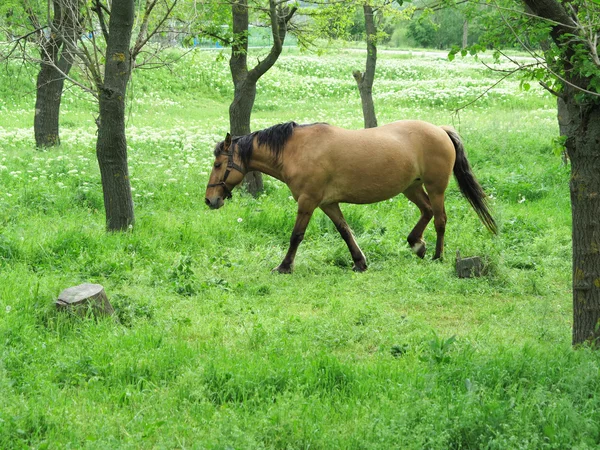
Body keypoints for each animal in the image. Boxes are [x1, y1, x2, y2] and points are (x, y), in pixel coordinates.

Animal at [206, 119, 496, 272]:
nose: (210, 200)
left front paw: (284, 266)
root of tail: (440, 129)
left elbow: (296, 235)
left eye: (218, 164)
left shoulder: (308, 202)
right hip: (411, 187)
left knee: (439, 219)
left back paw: (437, 256)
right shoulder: (329, 203)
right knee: (426, 211)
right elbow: (345, 231)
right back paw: (417, 244)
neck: (297, 150)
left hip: (435, 187)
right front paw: (359, 262)